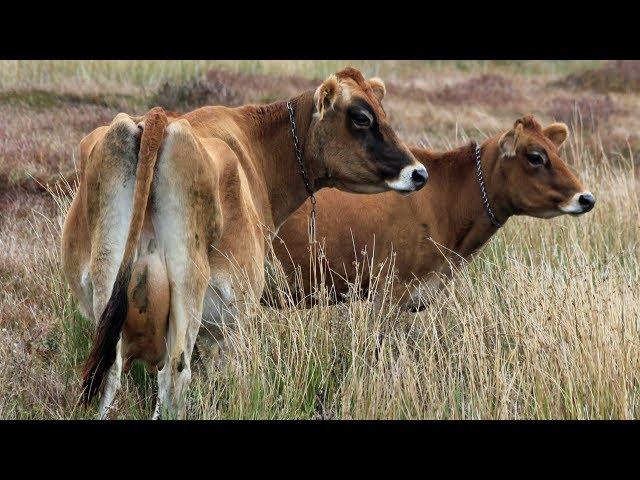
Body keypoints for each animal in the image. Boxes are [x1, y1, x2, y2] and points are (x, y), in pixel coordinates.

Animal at [62, 67, 428, 420]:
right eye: (362, 117)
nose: (419, 173)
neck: (256, 150)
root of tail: (157, 119)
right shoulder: (230, 322)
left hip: (106, 287)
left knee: (110, 374)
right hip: (189, 287)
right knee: (175, 377)